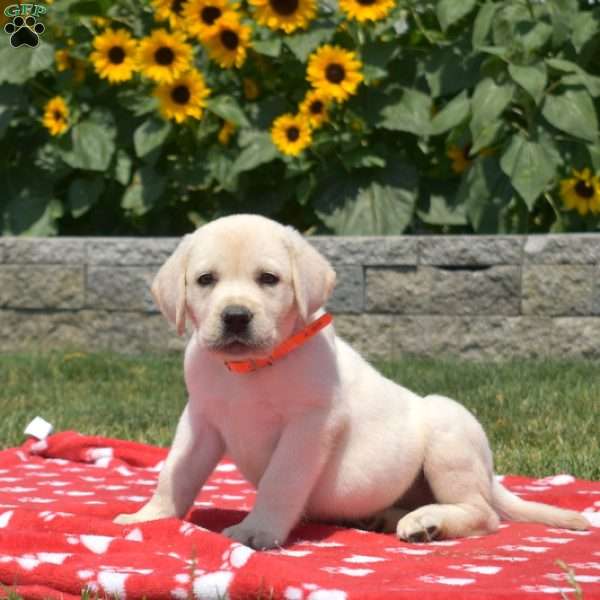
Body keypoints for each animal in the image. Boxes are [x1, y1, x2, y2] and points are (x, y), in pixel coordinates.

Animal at [115, 214, 588, 548]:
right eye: (205, 280)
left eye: (268, 279)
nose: (235, 316)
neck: (252, 368)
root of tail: (490, 476)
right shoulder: (200, 419)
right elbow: (175, 471)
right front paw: (150, 516)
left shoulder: (310, 425)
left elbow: (280, 481)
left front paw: (257, 530)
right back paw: (385, 517)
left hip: (448, 427)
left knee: (483, 514)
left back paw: (427, 522)